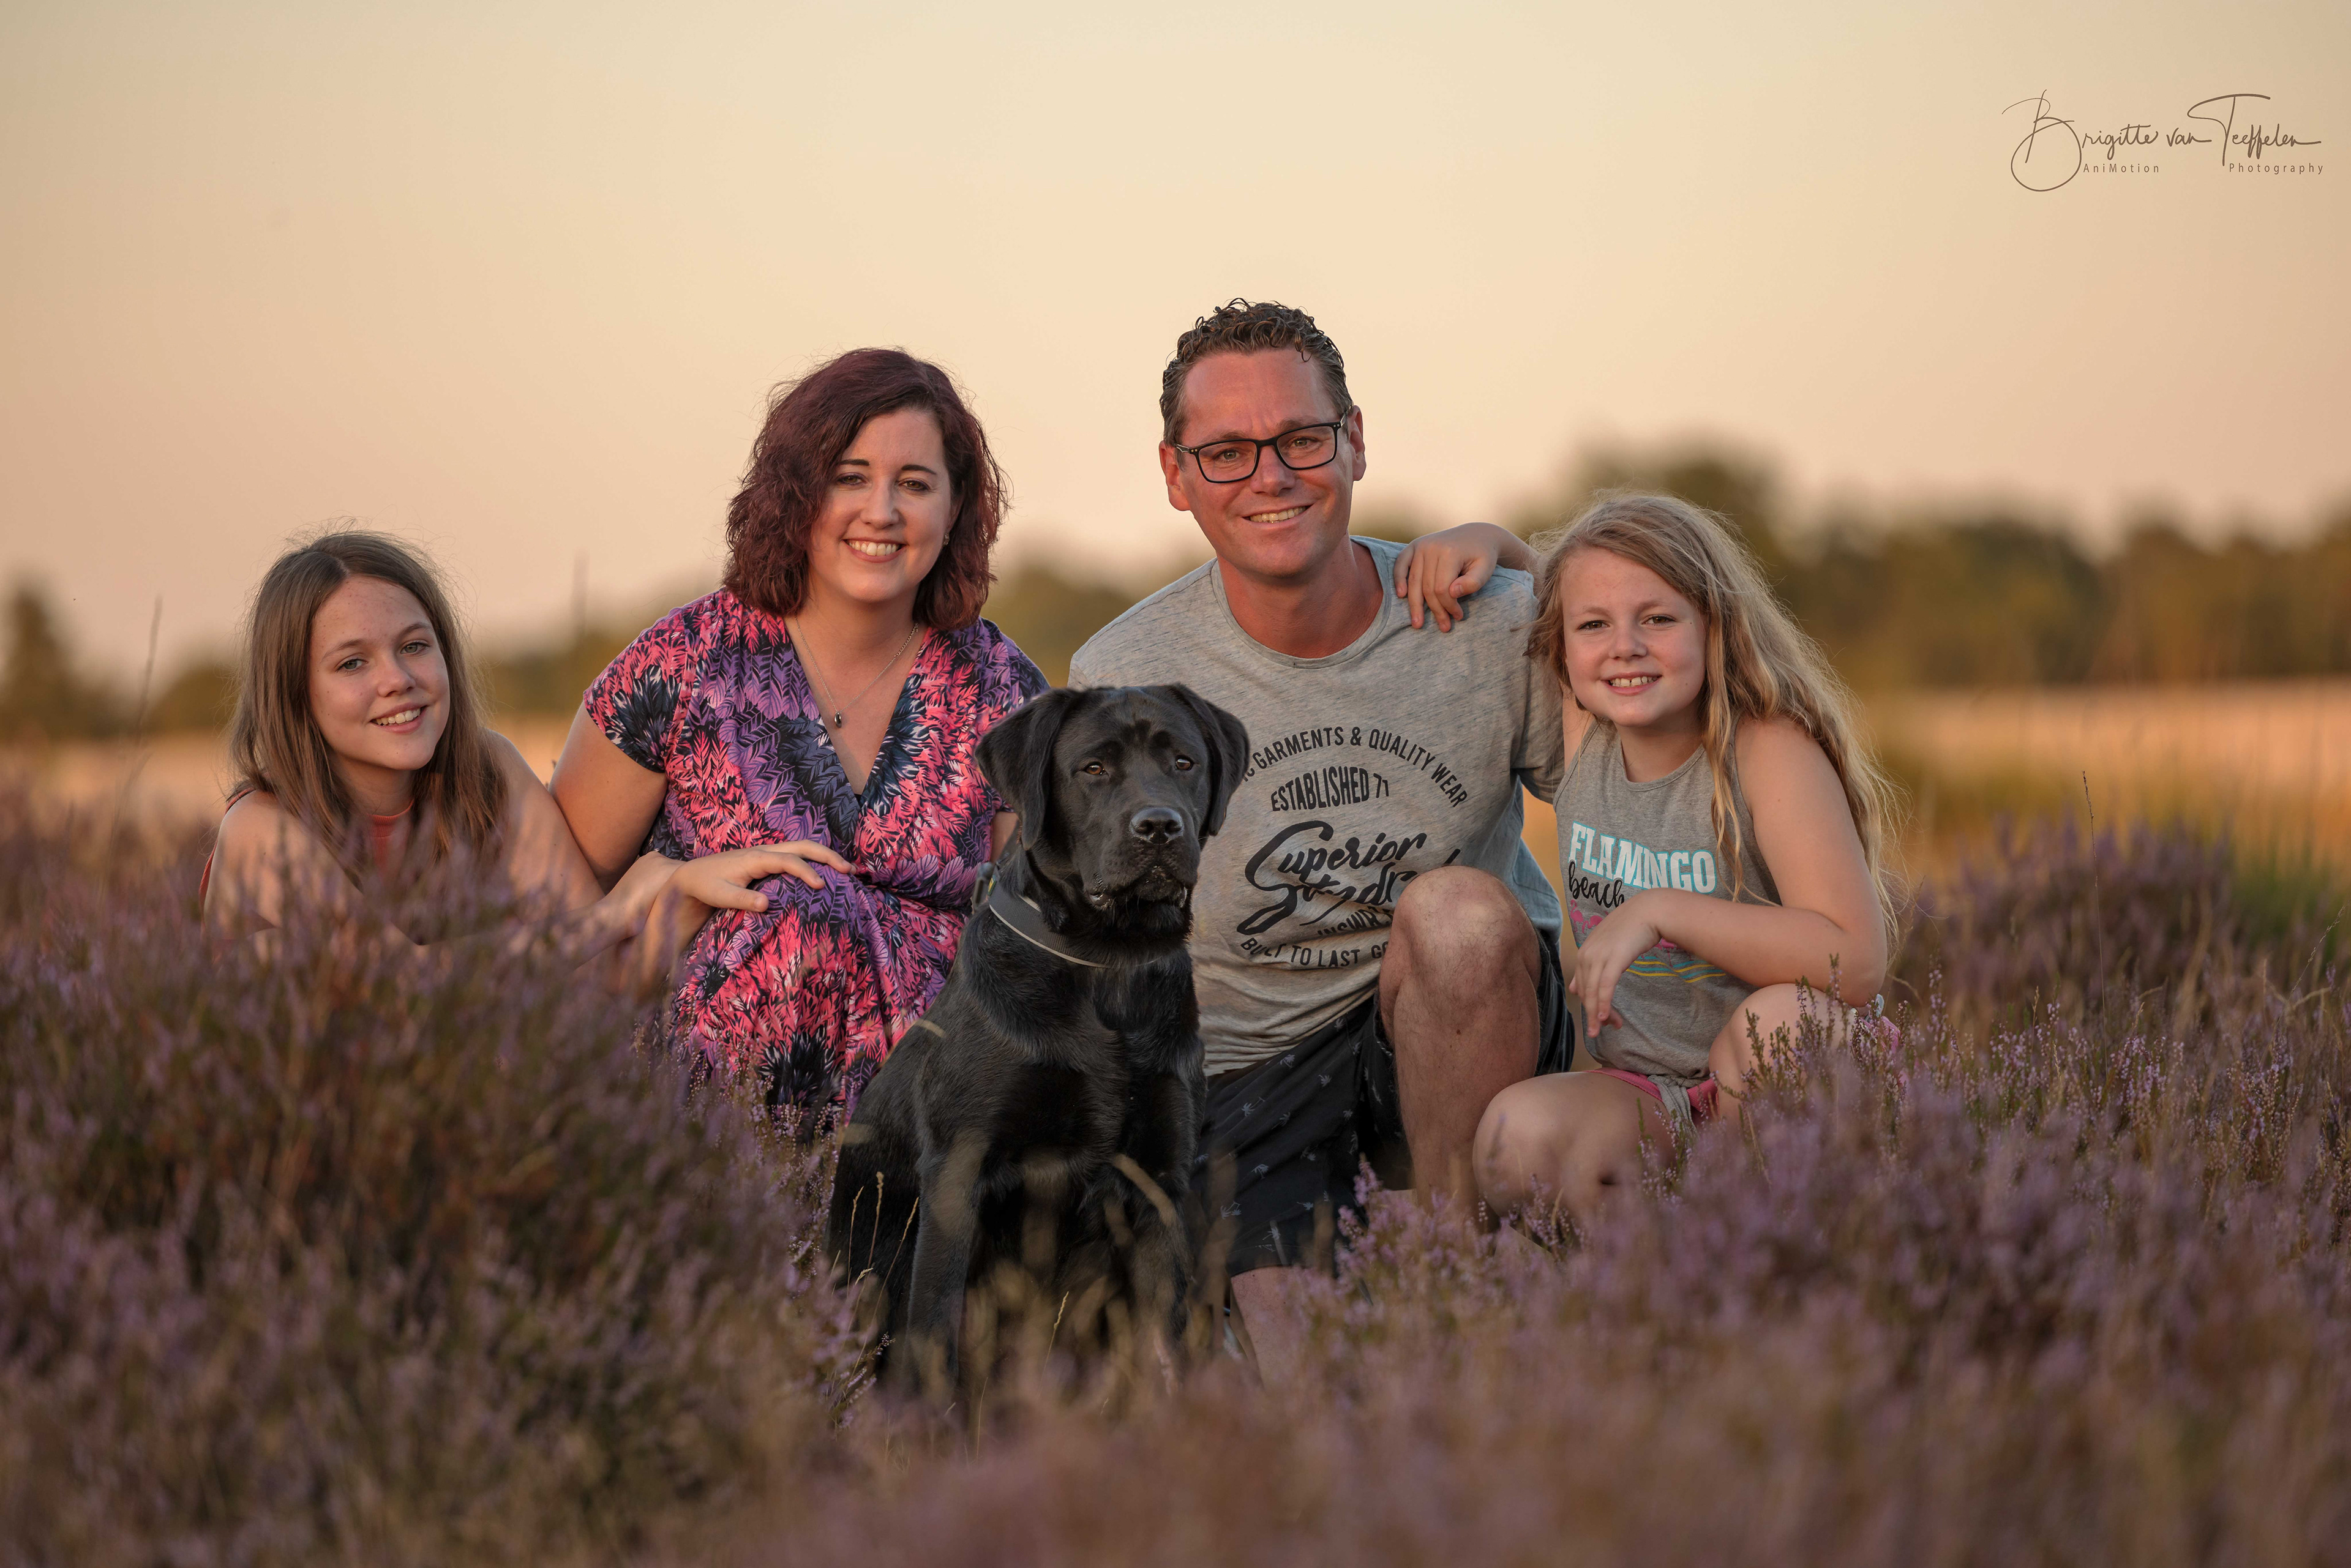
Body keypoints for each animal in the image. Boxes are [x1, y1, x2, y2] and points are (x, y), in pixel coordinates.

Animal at [825, 683, 1248, 1395]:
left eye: (1185, 762)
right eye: (1094, 768)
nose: (1160, 825)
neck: (1106, 960)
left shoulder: (1159, 1179)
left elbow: (1170, 1340)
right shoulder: (958, 1168)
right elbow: (935, 1332)